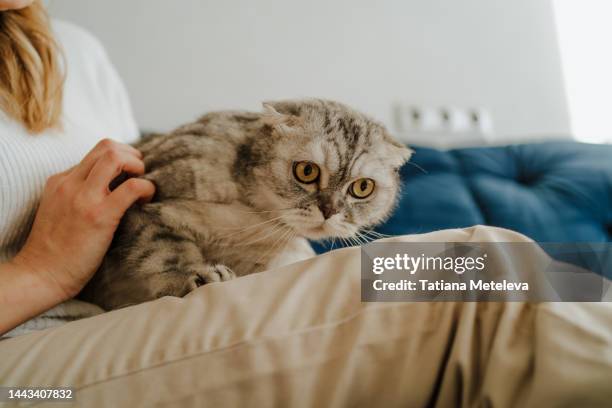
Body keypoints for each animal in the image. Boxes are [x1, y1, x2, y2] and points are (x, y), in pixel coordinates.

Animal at [77, 99, 412, 310]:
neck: (254, 222)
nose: (330, 210)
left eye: (362, 188)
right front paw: (196, 277)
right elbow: (164, 253)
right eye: (307, 171)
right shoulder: (142, 205)